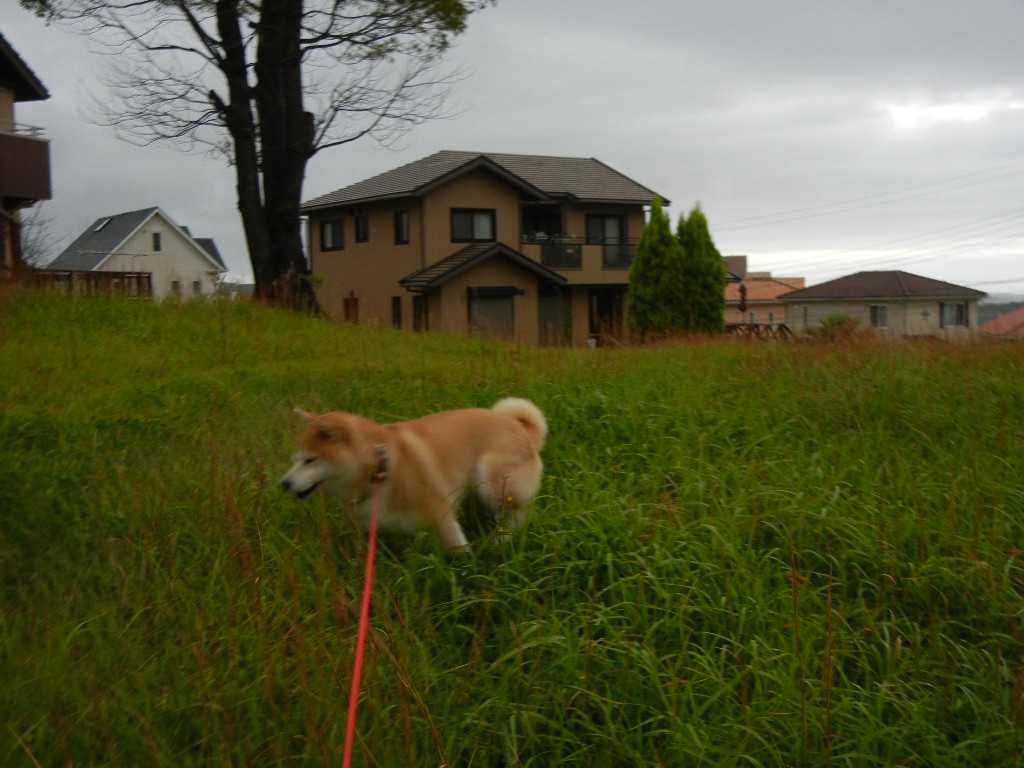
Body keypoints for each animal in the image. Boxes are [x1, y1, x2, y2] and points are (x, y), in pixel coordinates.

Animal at [280, 397, 548, 552]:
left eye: (310, 460)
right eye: (296, 459)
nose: (284, 483)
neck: (380, 472)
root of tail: (521, 426)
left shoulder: (440, 517)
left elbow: (457, 551)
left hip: (492, 481)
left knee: (518, 514)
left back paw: (502, 540)